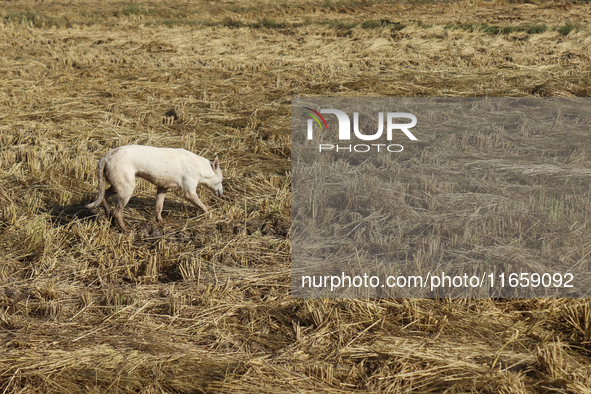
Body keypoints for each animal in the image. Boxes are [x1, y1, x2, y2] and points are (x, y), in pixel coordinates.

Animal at [84, 145, 221, 231]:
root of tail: (106, 157)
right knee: (117, 212)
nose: (221, 193)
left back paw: (108, 215)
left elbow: (158, 207)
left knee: (103, 197)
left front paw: (160, 221)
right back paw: (125, 229)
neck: (200, 168)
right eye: (221, 180)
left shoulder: (162, 188)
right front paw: (209, 216)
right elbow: (203, 206)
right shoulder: (190, 192)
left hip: (117, 185)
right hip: (127, 188)